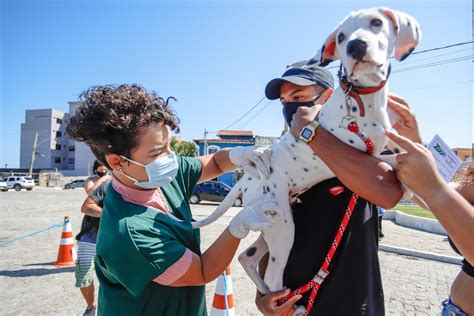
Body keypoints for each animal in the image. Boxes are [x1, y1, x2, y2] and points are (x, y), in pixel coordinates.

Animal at [193, 6, 422, 294]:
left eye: (376, 22)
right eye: (342, 36)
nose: (356, 46)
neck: (362, 96)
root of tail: (247, 178)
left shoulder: (387, 139)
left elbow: (403, 150)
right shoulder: (365, 154)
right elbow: (392, 161)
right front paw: (411, 182)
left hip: (274, 222)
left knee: (248, 257)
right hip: (282, 226)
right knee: (272, 273)